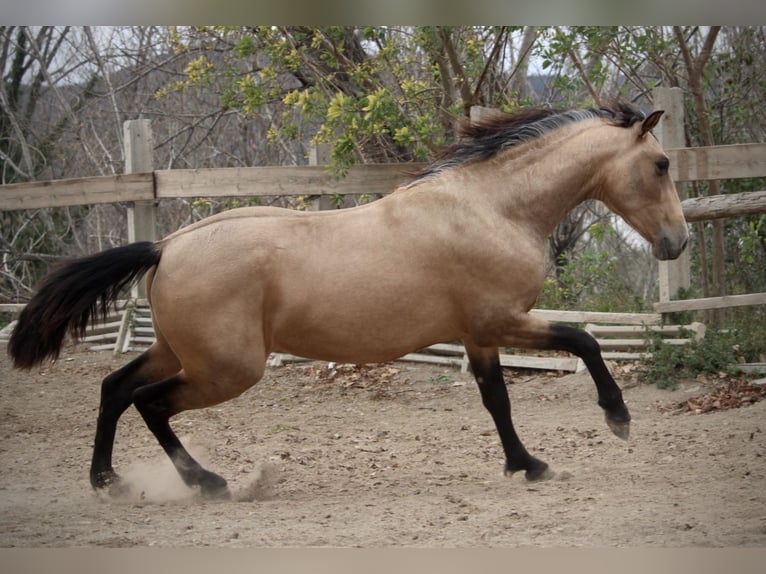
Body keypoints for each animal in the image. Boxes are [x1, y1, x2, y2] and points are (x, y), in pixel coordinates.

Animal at [6, 101, 688, 502]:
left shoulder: (479, 333)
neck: (490, 208)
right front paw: (617, 418)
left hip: (180, 352)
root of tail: (166, 245)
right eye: (660, 163)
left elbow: (496, 400)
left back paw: (108, 481)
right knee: (150, 403)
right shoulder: (502, 320)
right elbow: (584, 339)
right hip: (227, 368)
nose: (676, 243)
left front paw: (528, 465)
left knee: (115, 388)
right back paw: (210, 482)